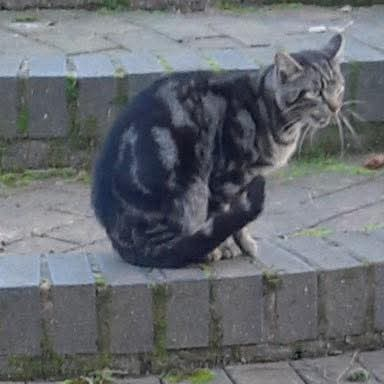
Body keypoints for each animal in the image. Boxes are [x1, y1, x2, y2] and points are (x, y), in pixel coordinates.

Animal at [92, 33, 344, 268]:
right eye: (315, 93)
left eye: (339, 89)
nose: (335, 107)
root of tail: (122, 240)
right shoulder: (225, 179)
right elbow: (226, 219)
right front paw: (230, 246)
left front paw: (242, 245)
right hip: (190, 189)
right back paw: (203, 251)